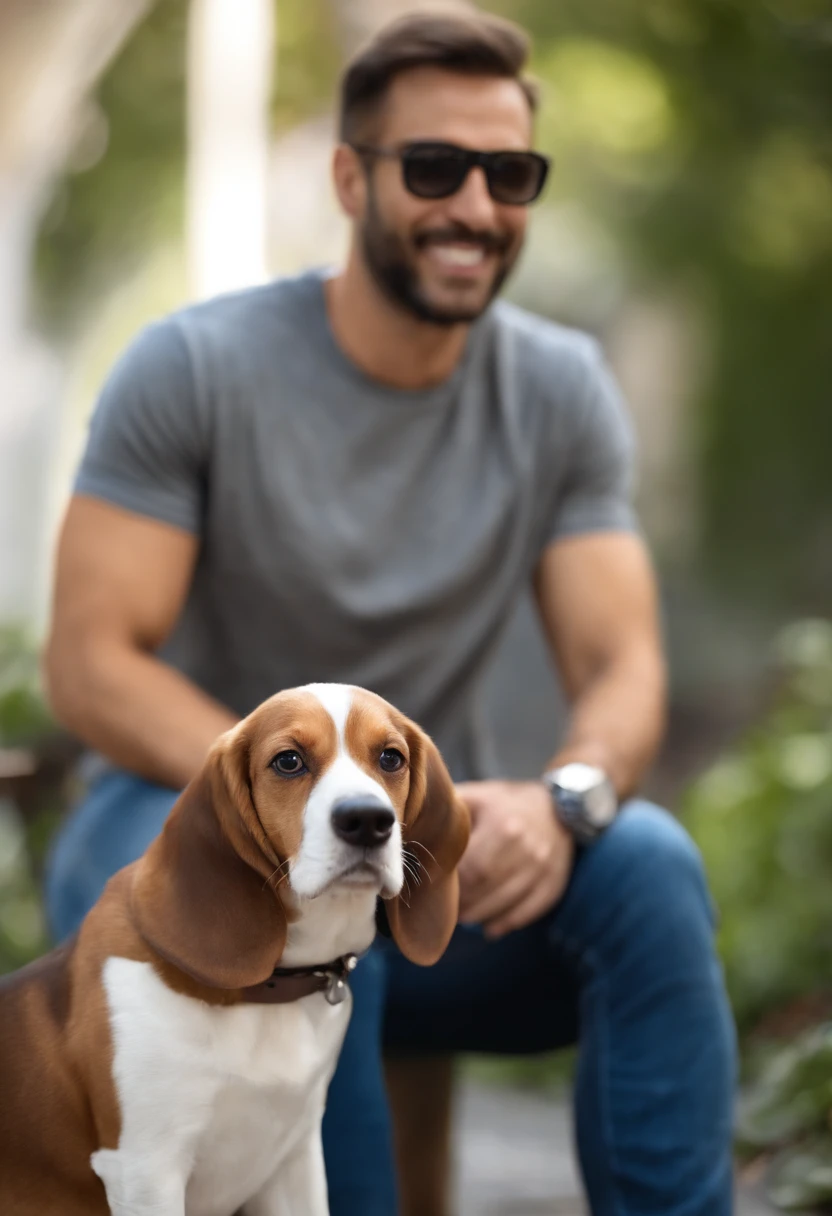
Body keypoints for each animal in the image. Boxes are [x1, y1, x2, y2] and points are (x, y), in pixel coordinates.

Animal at [0, 685, 467, 1216]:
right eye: (288, 761)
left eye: (391, 758)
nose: (367, 820)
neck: (268, 990)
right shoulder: (145, 1170)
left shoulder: (295, 1159)